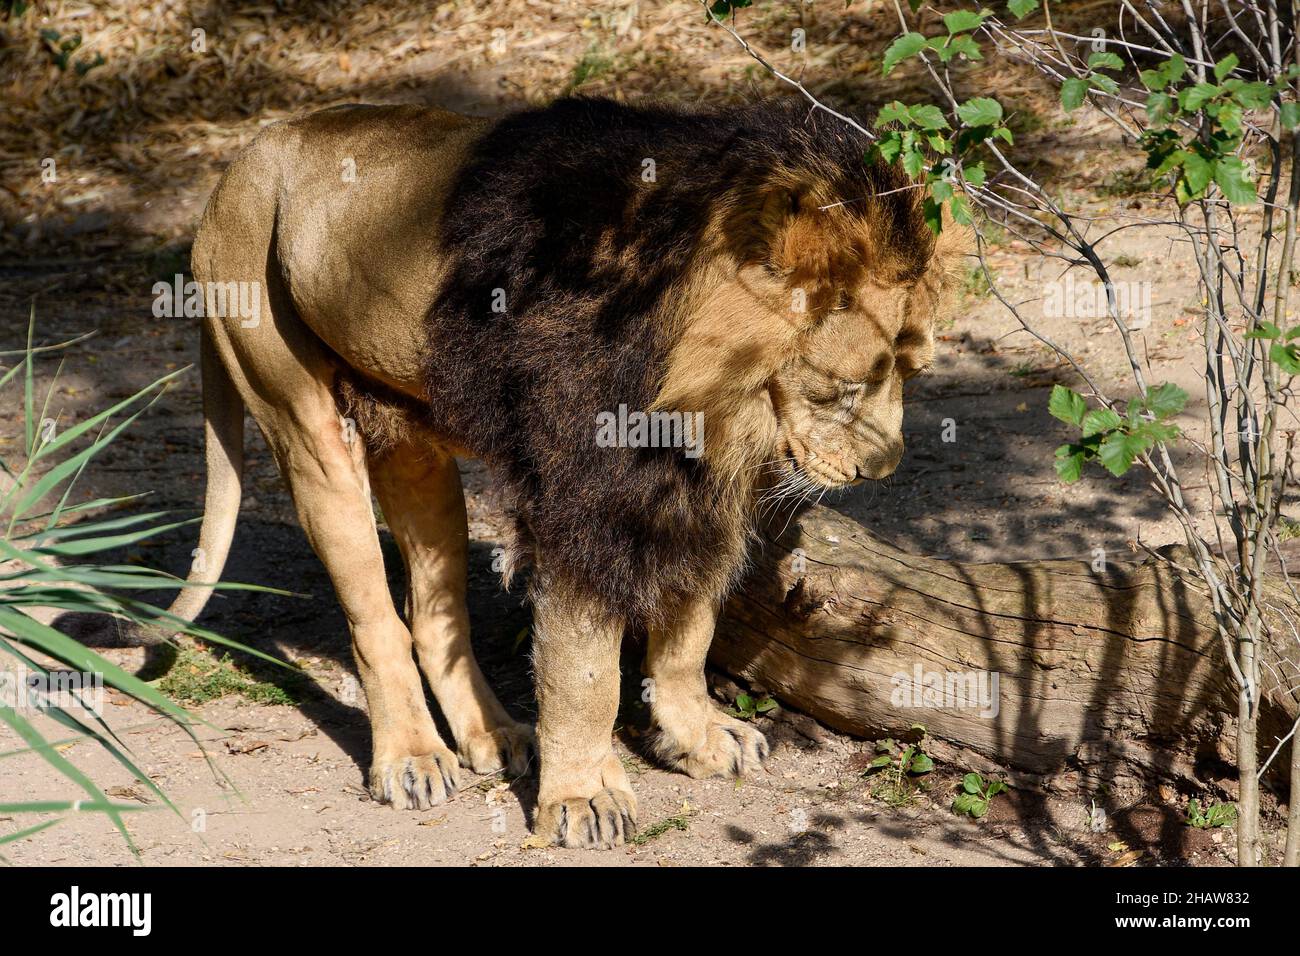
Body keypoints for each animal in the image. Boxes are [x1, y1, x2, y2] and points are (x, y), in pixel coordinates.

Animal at [167, 95, 967, 842]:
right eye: (848, 387)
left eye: (913, 374)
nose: (881, 470)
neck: (710, 391)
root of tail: (244, 156)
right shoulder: (584, 493)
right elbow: (587, 670)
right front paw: (584, 796)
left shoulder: (695, 486)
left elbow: (691, 626)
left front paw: (696, 735)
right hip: (295, 408)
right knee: (375, 618)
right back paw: (413, 758)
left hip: (411, 435)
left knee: (434, 615)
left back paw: (496, 736)